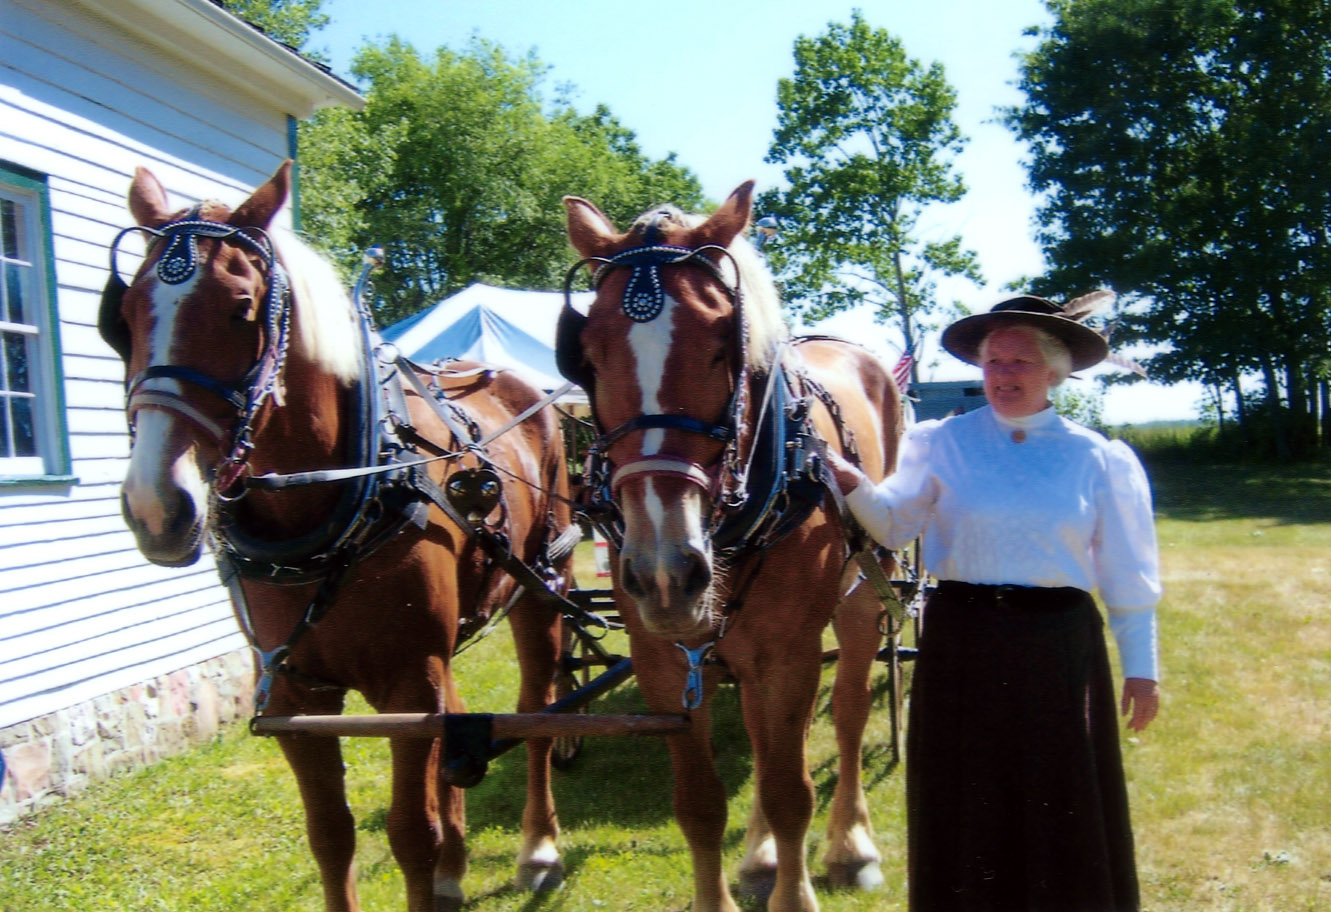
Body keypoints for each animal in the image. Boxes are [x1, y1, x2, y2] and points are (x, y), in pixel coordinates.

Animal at [107, 163, 572, 910]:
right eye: (123, 318)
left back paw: (537, 848)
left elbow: (411, 834)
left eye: (242, 308)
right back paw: (459, 863)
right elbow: (330, 836)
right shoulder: (296, 699)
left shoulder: (408, 691)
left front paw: (445, 855)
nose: (156, 504)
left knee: (536, 711)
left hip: (538, 586)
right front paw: (436, 861)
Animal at [561, 181, 905, 905]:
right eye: (588, 355)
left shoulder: (790, 655)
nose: (665, 573)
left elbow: (789, 791)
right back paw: (761, 855)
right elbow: (700, 804)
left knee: (850, 710)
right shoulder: (667, 664)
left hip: (863, 591)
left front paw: (796, 892)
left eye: (724, 343)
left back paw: (850, 845)